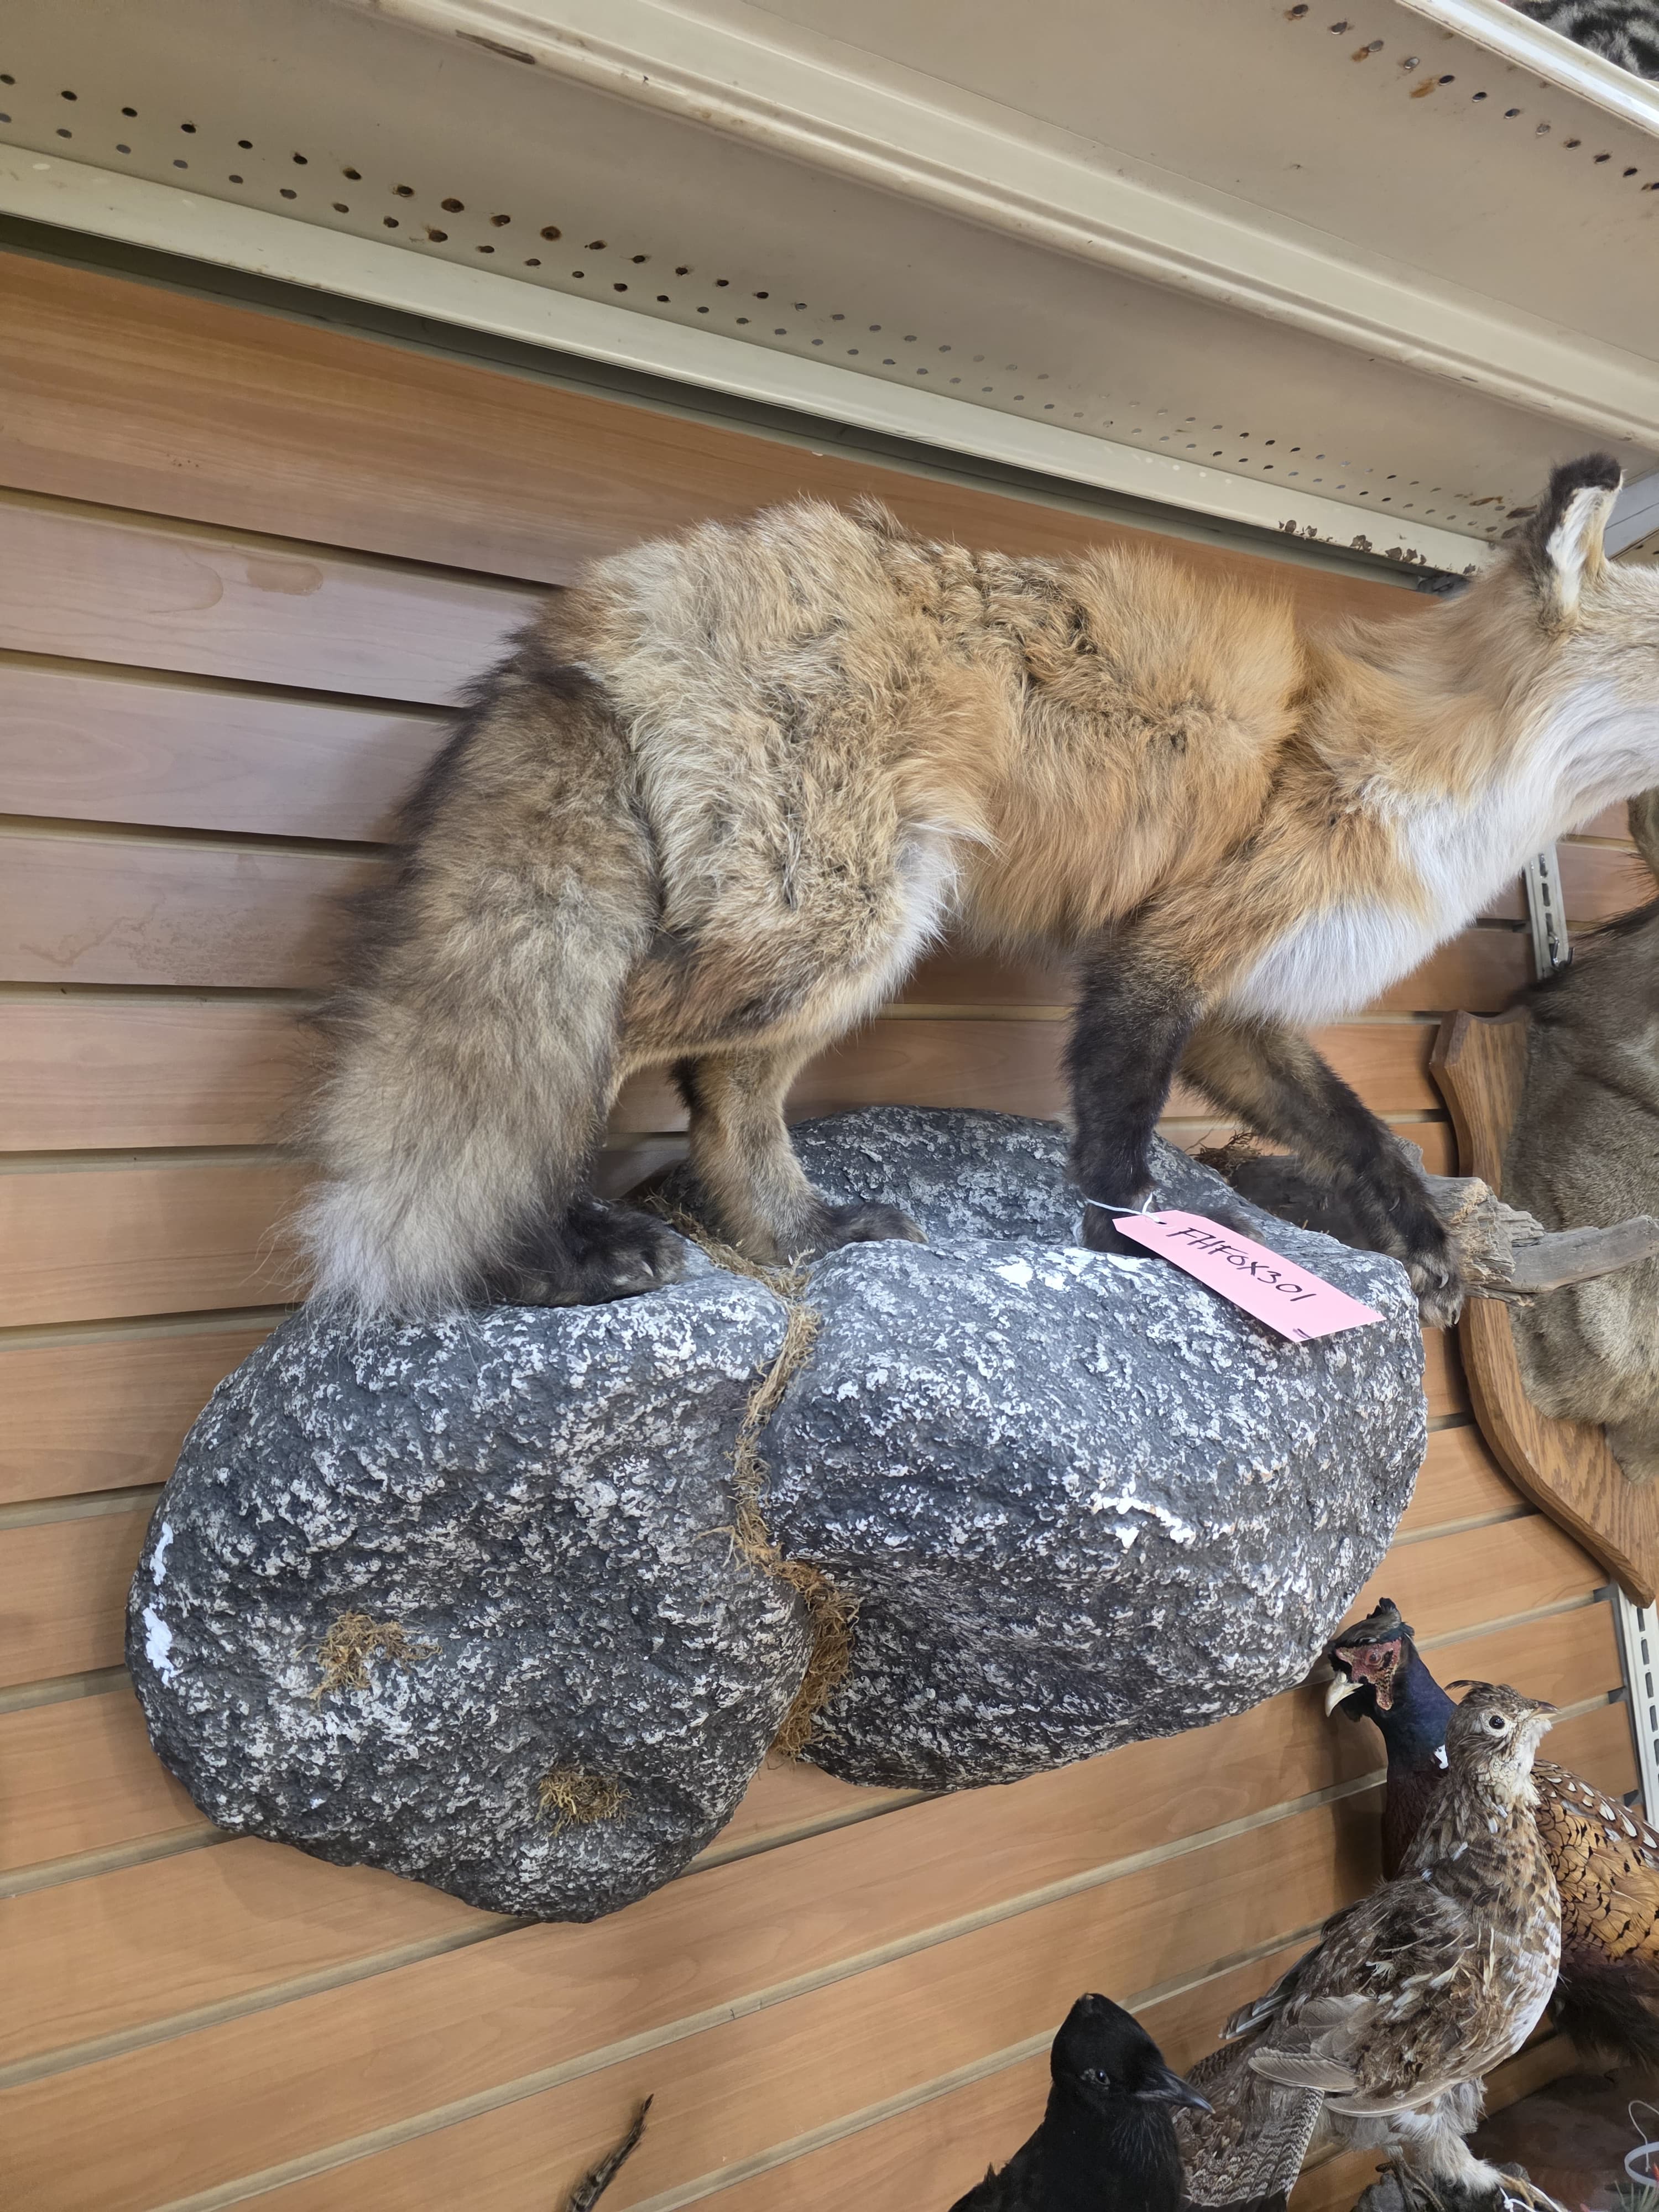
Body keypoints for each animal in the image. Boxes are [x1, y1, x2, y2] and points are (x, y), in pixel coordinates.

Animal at [298, 453, 1659, 1324]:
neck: (1425, 764)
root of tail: (624, 581)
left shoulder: (1236, 1007)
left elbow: (1367, 1136)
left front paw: (1425, 1244)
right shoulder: (1165, 953)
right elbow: (1117, 1123)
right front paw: (1127, 1240)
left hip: (839, 940)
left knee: (724, 1102)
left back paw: (801, 1234)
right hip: (829, 931)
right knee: (568, 1075)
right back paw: (535, 1260)